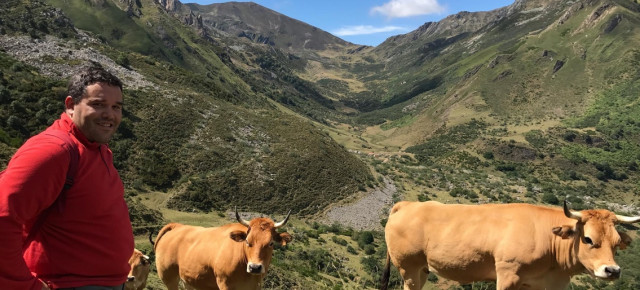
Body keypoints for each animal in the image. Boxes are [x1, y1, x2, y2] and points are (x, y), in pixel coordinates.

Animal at [154, 210, 294, 288]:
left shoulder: (255, 286)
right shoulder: (224, 283)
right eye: (247, 241)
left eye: (271, 243)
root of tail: (178, 226)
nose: (254, 267)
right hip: (168, 277)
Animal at [382, 201, 636, 290]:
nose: (612, 270)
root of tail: (408, 204)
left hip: (422, 269)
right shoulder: (508, 275)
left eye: (616, 243)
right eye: (588, 239)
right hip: (408, 267)